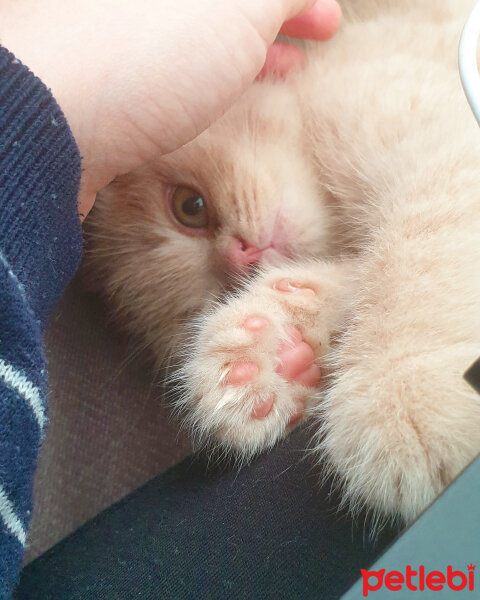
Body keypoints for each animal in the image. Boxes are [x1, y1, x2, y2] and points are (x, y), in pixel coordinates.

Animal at [86, 0, 480, 524]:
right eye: (220, 292)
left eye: (190, 206)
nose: (240, 256)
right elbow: (363, 272)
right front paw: (272, 345)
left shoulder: (436, 141)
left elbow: (418, 250)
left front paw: (403, 390)